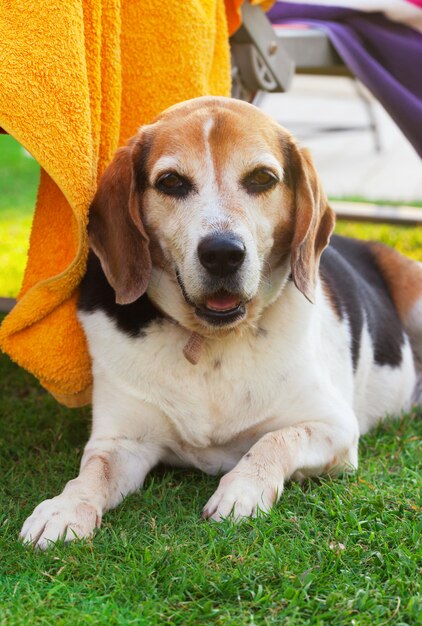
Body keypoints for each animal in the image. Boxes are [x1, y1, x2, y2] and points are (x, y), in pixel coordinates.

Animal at [20, 96, 422, 544]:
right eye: (171, 182)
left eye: (262, 178)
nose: (223, 253)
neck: (209, 343)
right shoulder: (121, 440)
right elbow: (92, 472)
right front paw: (64, 508)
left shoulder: (333, 426)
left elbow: (274, 440)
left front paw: (241, 490)